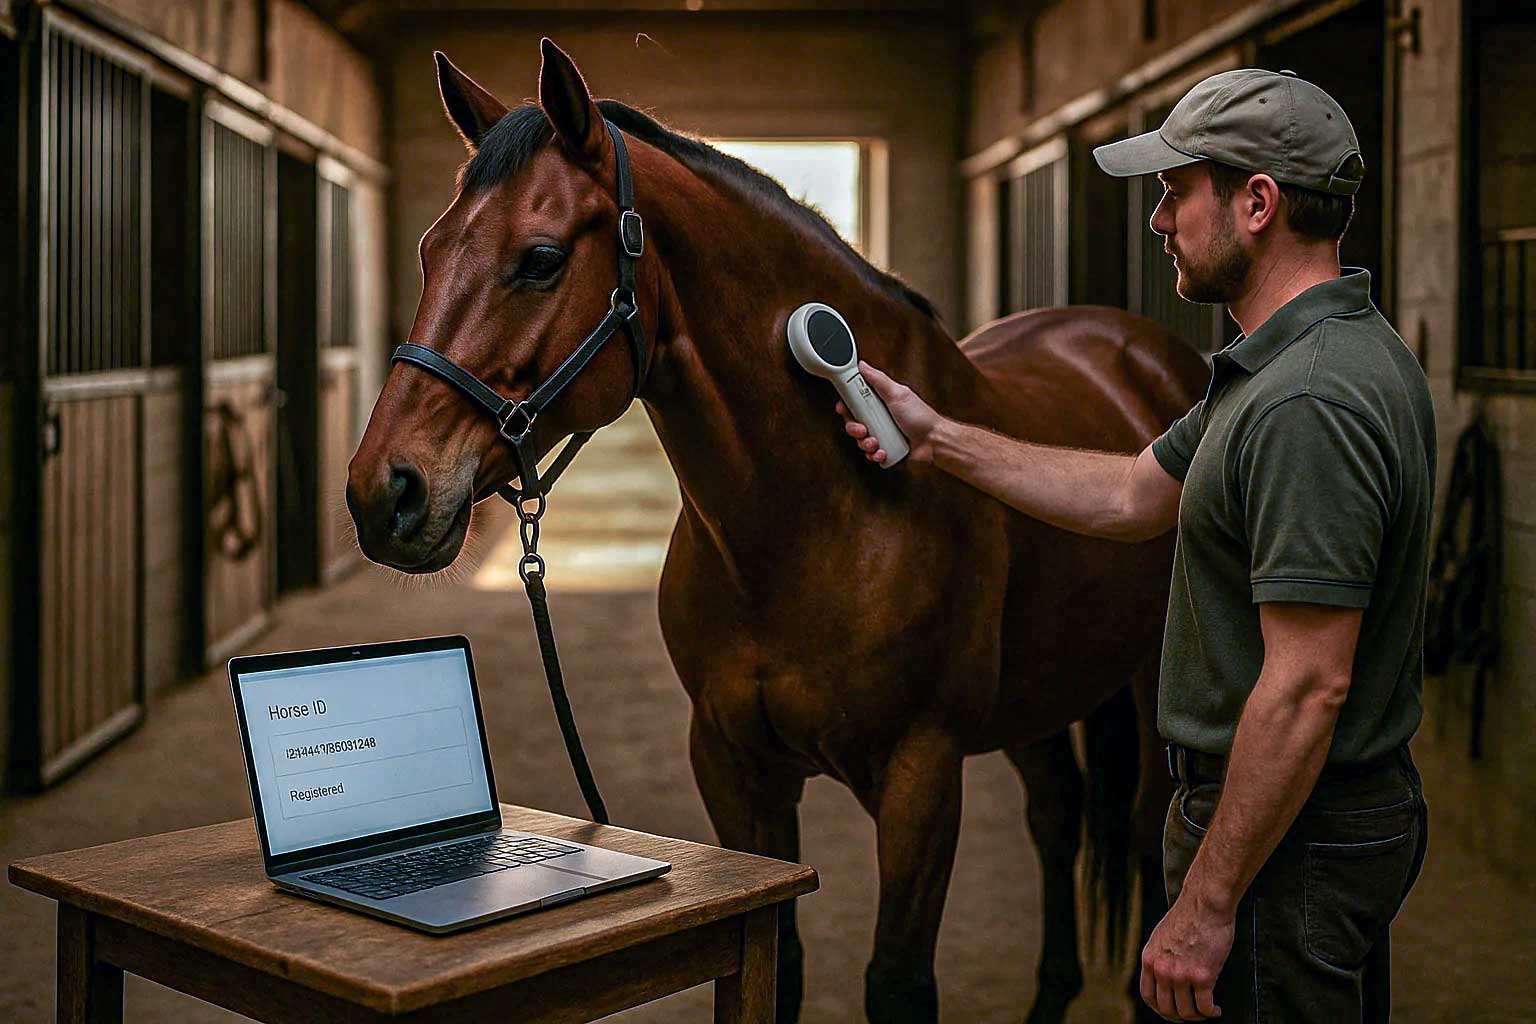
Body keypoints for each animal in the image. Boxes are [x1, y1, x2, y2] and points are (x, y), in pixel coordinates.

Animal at [346, 39, 1210, 1024]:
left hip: (1145, 691)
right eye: (429, 250)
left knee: (1144, 845)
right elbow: (778, 962)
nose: (383, 491)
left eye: (539, 259)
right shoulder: (734, 765)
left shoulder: (921, 777)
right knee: (1058, 816)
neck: (810, 524)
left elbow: (897, 982)